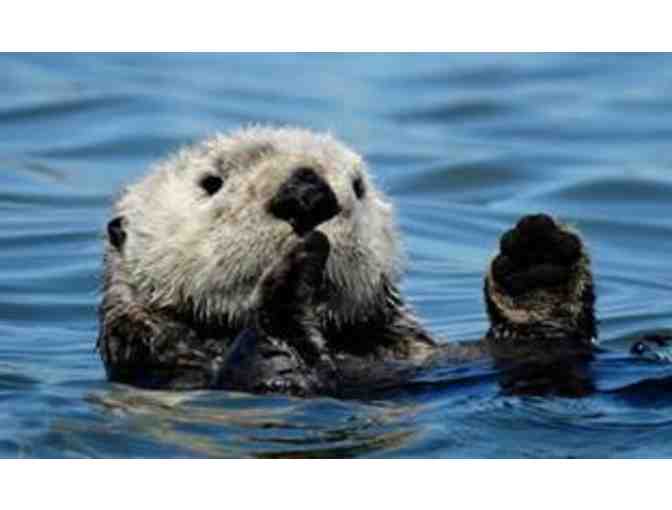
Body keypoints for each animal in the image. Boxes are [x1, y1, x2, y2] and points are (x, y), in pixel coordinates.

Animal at [97, 125, 596, 396]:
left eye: (358, 185)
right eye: (210, 182)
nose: (307, 194)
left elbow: (540, 348)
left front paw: (536, 258)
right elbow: (271, 367)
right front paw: (290, 284)